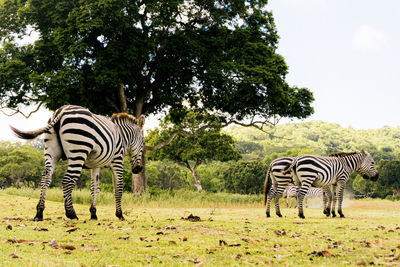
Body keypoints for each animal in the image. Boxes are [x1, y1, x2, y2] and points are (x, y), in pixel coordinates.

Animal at [9, 105, 145, 222]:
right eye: (143, 143)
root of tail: (61, 111)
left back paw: (39, 212)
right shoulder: (117, 161)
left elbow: (95, 188)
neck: (123, 137)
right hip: (78, 151)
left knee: (46, 177)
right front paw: (120, 214)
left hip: (52, 151)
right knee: (67, 180)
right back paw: (71, 214)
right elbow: (118, 188)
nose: (138, 169)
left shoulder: (96, 165)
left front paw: (93, 214)